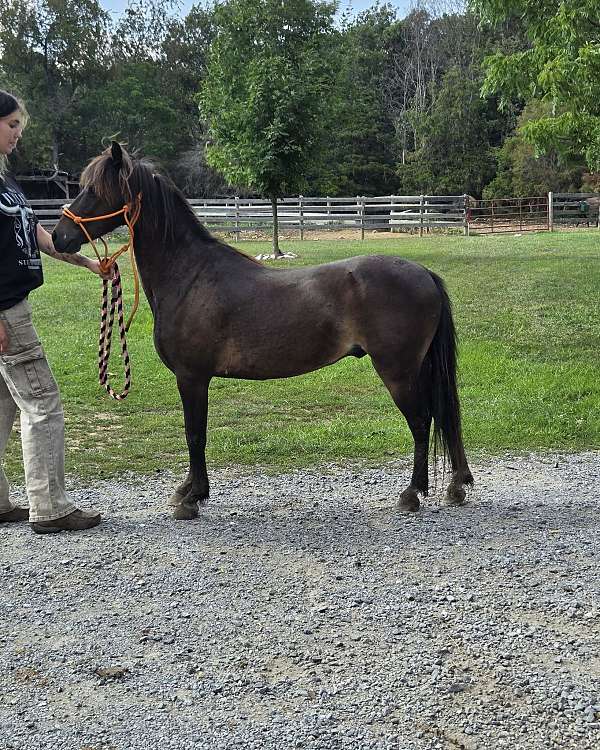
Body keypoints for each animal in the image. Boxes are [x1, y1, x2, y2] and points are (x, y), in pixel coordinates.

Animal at [52, 142, 473, 519]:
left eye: (95, 190)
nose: (58, 237)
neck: (189, 275)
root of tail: (424, 274)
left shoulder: (192, 377)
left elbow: (194, 434)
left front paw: (193, 497)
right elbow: (194, 434)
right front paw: (188, 491)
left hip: (397, 371)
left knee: (421, 422)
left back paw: (412, 494)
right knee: (442, 415)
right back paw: (455, 486)